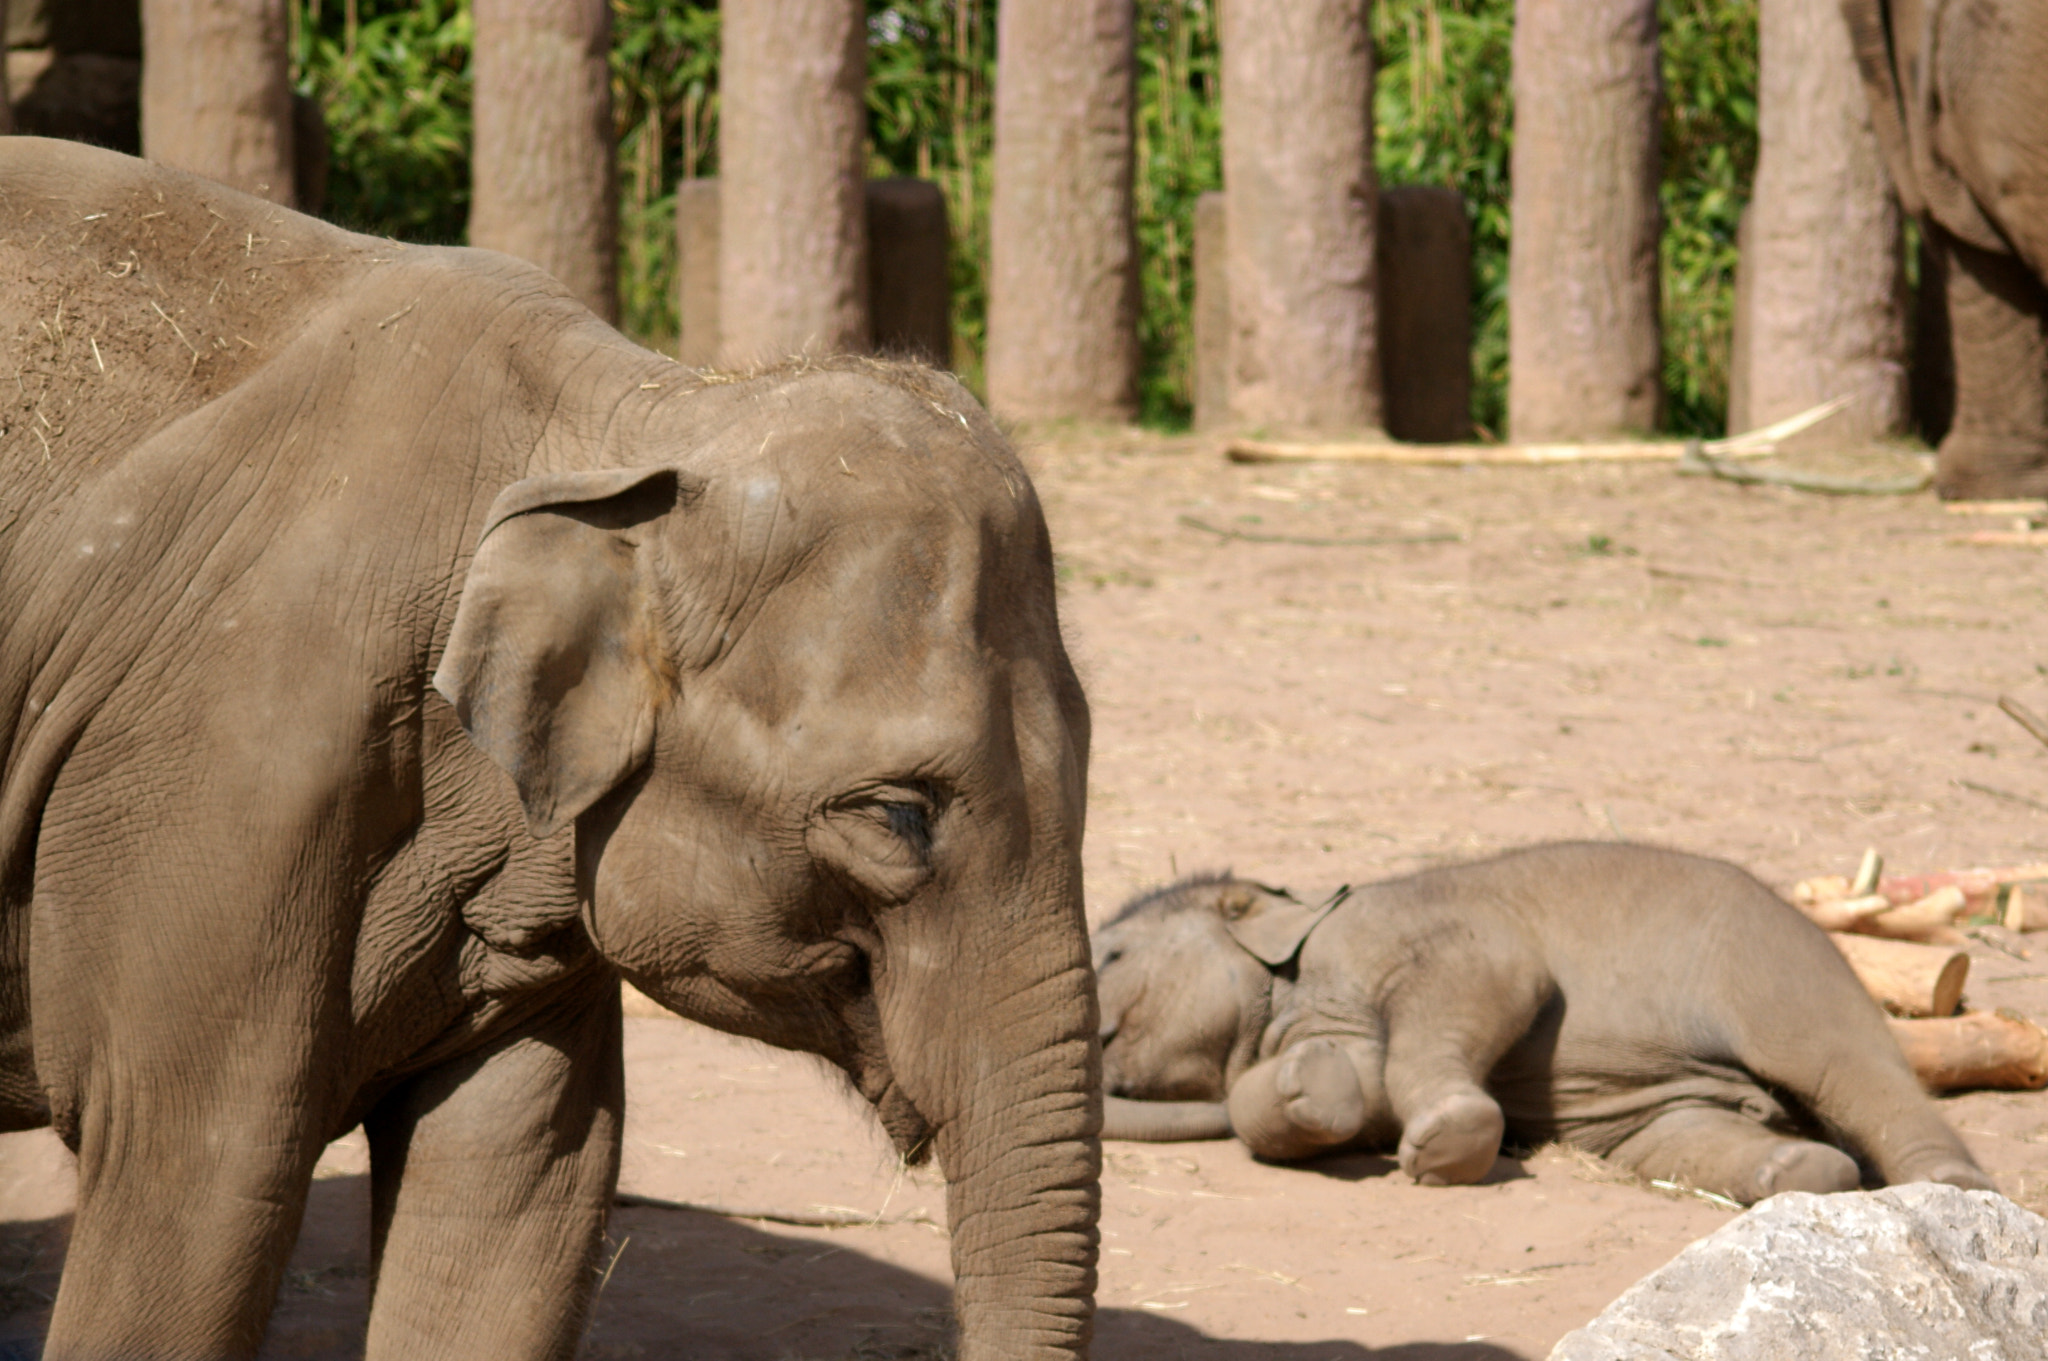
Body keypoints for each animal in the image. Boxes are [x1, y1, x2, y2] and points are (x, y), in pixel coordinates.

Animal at [1097, 843, 1990, 1203]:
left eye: (1108, 954)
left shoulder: (1407, 923)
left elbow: (1499, 975)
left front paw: (1441, 1151)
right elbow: (1332, 1100)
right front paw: (1310, 1084)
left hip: (1777, 964)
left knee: (1844, 1062)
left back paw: (1953, 1188)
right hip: (1660, 1113)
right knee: (1684, 1134)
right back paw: (1803, 1175)